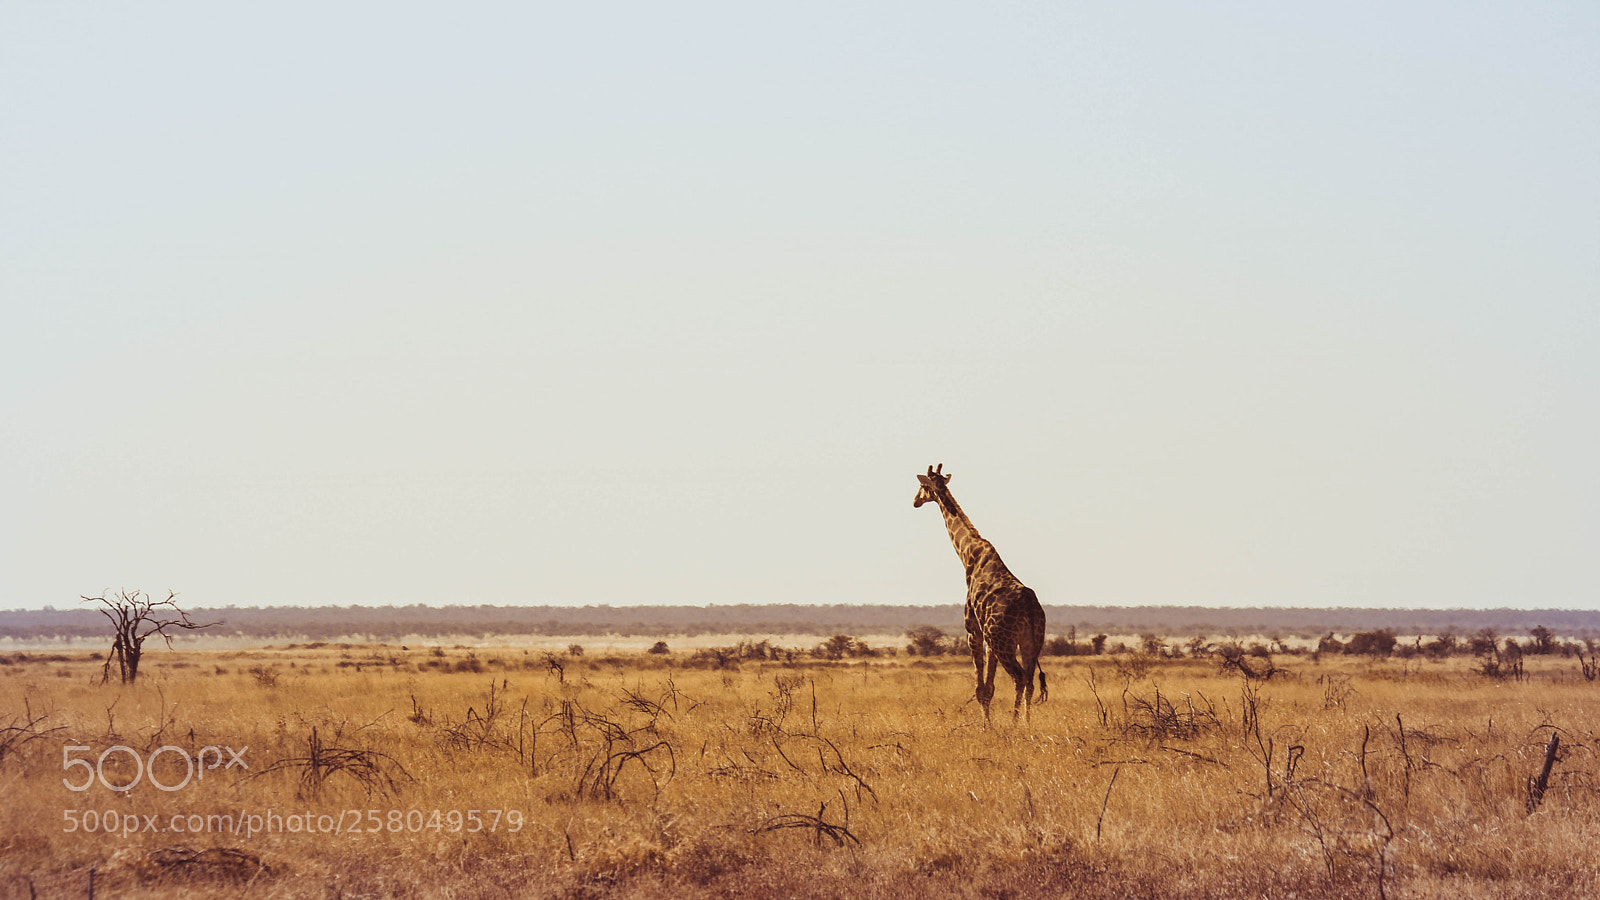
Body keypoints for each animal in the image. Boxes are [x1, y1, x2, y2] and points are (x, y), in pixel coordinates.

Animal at [914, 464, 1048, 723]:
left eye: (922, 486)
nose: (915, 501)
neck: (968, 555)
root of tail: (1030, 607)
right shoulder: (988, 639)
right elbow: (990, 687)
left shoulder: (974, 631)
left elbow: (980, 688)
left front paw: (987, 726)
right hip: (1031, 641)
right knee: (1030, 680)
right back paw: (1027, 723)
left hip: (1003, 641)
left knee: (1019, 677)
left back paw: (1015, 723)